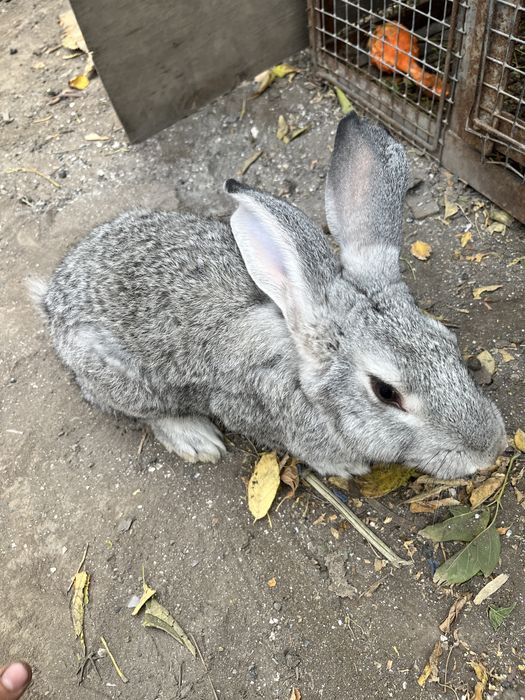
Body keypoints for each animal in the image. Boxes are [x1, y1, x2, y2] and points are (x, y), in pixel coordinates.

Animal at [31, 113, 506, 479]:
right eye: (386, 392)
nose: (488, 449)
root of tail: (52, 299)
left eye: (448, 342)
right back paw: (196, 438)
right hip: (123, 380)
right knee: (143, 412)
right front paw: (344, 466)